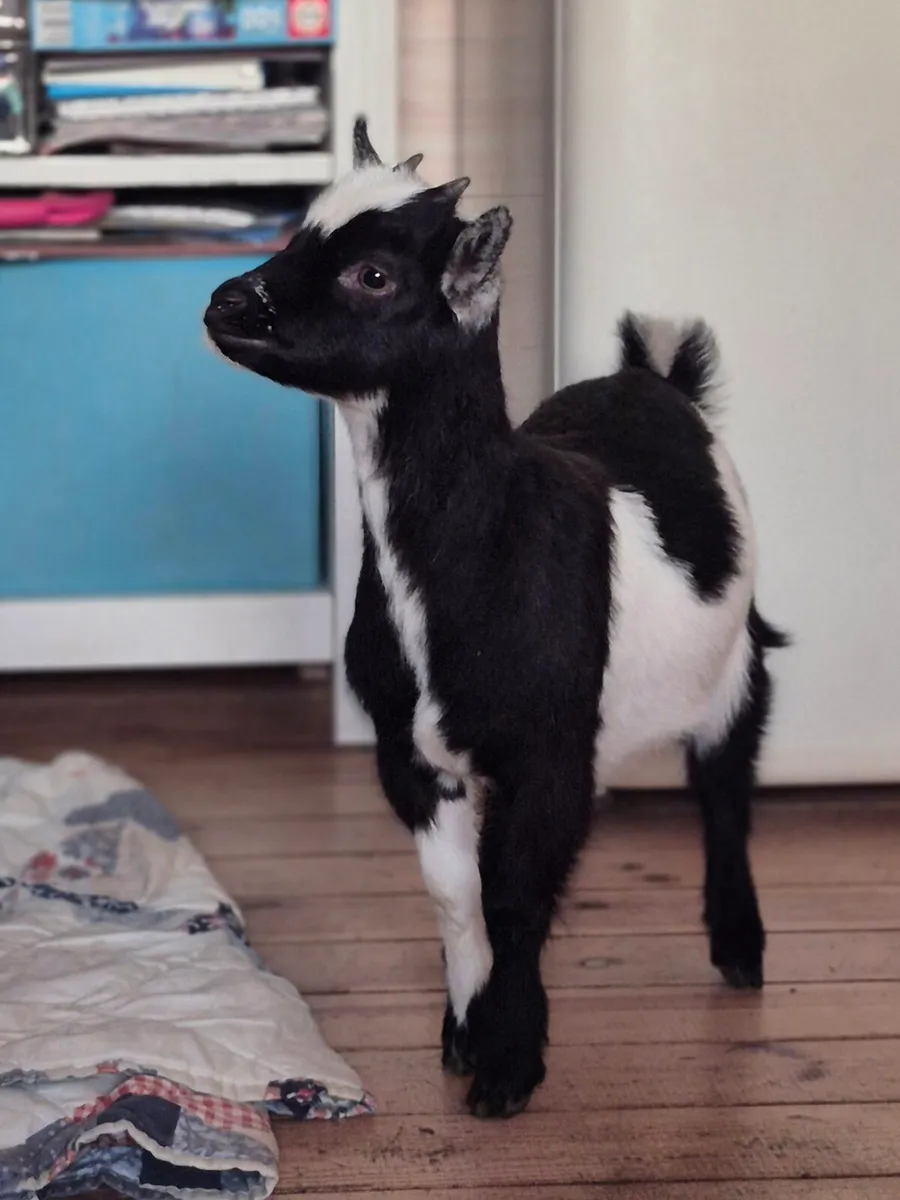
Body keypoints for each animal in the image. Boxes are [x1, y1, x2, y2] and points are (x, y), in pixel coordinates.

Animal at [204, 118, 787, 1120]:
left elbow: (516, 894)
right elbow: (457, 894)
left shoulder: (549, 749)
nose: (229, 300)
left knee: (725, 786)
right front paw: (466, 1033)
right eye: (301, 228)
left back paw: (740, 948)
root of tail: (656, 377)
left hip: (738, 666)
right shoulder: (408, 749)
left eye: (374, 275)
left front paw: (510, 1067)